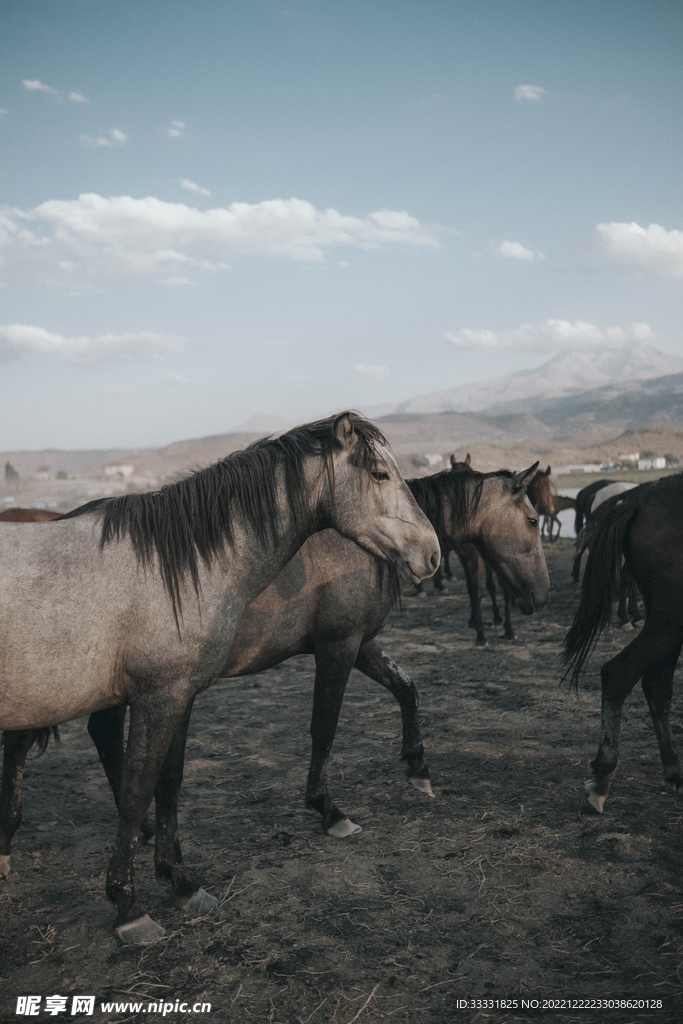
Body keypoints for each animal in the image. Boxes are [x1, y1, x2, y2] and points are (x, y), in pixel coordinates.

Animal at [0, 412, 440, 943]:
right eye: (379, 474)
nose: (431, 554)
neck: (171, 569)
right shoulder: (332, 648)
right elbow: (140, 791)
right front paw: (128, 906)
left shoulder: (183, 695)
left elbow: (168, 783)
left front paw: (181, 882)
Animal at [1, 465, 550, 887]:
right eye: (531, 519)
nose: (539, 597)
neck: (364, 544)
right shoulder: (338, 647)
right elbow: (324, 727)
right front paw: (328, 810)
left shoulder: (362, 645)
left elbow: (407, 688)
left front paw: (418, 768)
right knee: (40, 742)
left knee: (91, 737)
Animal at [563, 473, 683, 813]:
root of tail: (638, 500)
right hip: (668, 622)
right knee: (619, 673)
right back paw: (602, 777)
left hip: (667, 625)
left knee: (656, 684)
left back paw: (674, 772)